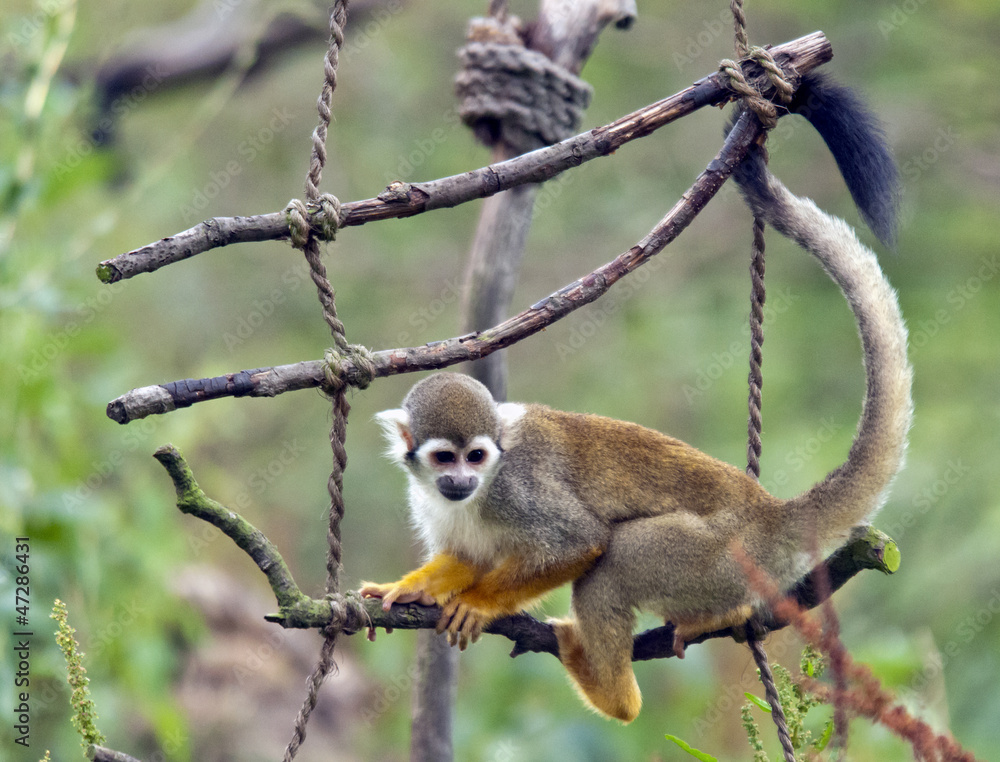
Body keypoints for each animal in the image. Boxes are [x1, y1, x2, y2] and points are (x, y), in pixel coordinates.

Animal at [361, 78, 911, 723]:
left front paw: (480, 603)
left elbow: (580, 542)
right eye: (444, 459)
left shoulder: (518, 489)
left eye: (477, 457)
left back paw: (613, 692)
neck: (481, 489)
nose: (460, 482)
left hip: (721, 558)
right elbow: (467, 556)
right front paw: (414, 586)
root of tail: (772, 516)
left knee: (615, 563)